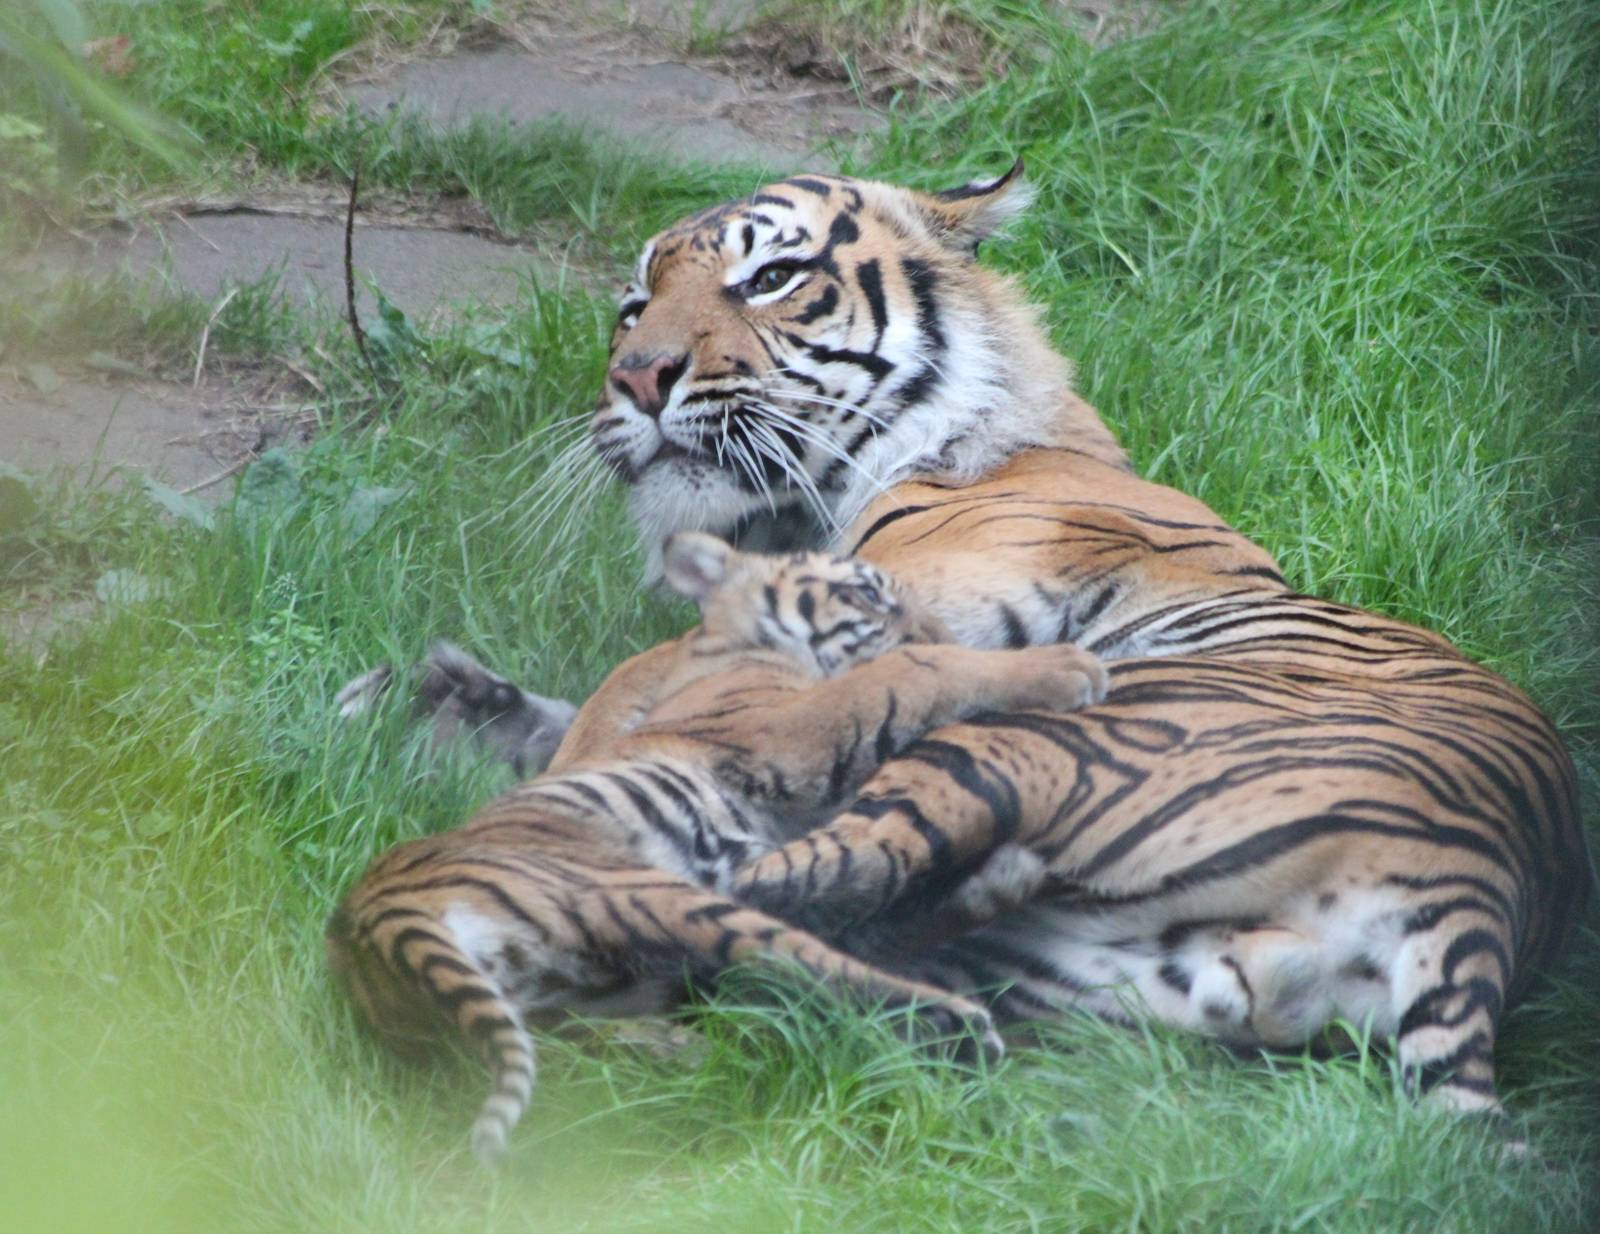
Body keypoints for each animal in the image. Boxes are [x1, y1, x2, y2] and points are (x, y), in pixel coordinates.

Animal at [326, 532, 1107, 1164]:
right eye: (865, 593)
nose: (936, 623)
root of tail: (364, 924)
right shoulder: (792, 733)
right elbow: (916, 671)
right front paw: (1066, 667)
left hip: (607, 981)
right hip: (652, 894)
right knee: (813, 967)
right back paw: (958, 1021)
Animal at [552, 162, 1591, 1121]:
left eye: (769, 276)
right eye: (633, 307)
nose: (636, 376)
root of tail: (1479, 907)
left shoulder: (931, 591)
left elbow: (654, 671)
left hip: (1041, 737)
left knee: (781, 882)